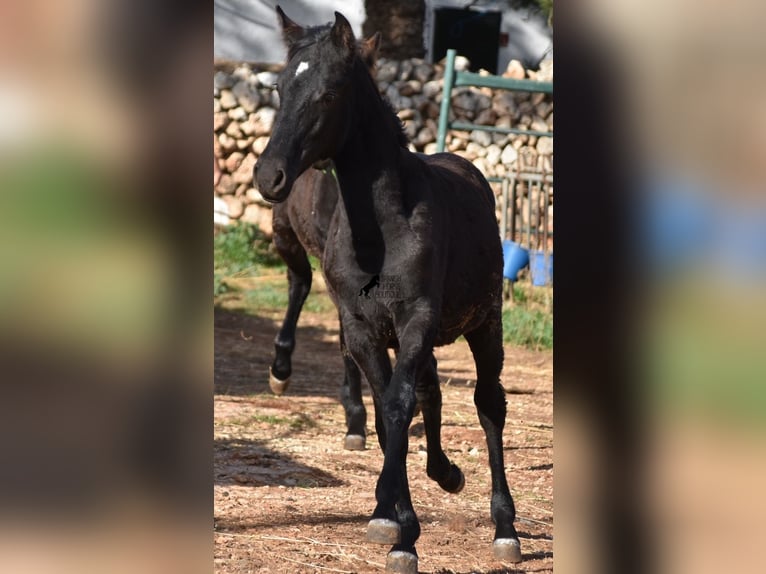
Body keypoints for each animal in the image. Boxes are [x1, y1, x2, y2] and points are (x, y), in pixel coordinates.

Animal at [270, 32, 384, 454]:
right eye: (279, 89)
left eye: (332, 95)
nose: (269, 173)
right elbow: (346, 338)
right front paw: (356, 418)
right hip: (285, 234)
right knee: (299, 283)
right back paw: (280, 369)